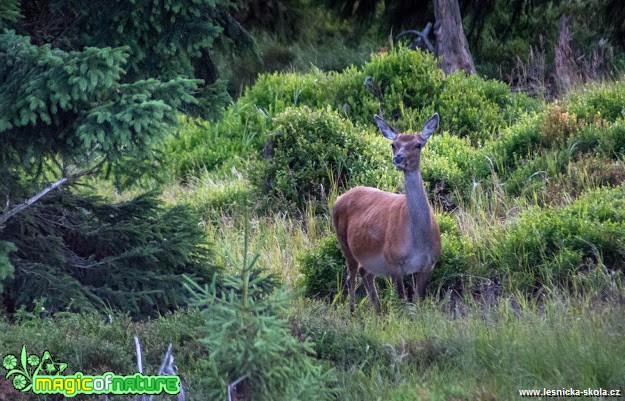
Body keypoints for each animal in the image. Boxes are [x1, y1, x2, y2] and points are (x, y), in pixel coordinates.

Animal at [334, 112, 442, 312]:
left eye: (418, 144)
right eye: (394, 144)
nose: (398, 158)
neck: (417, 243)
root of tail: (339, 198)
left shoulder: (429, 264)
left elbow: (418, 300)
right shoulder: (393, 262)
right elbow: (402, 300)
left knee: (365, 272)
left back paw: (378, 311)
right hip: (344, 244)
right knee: (351, 276)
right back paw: (352, 312)